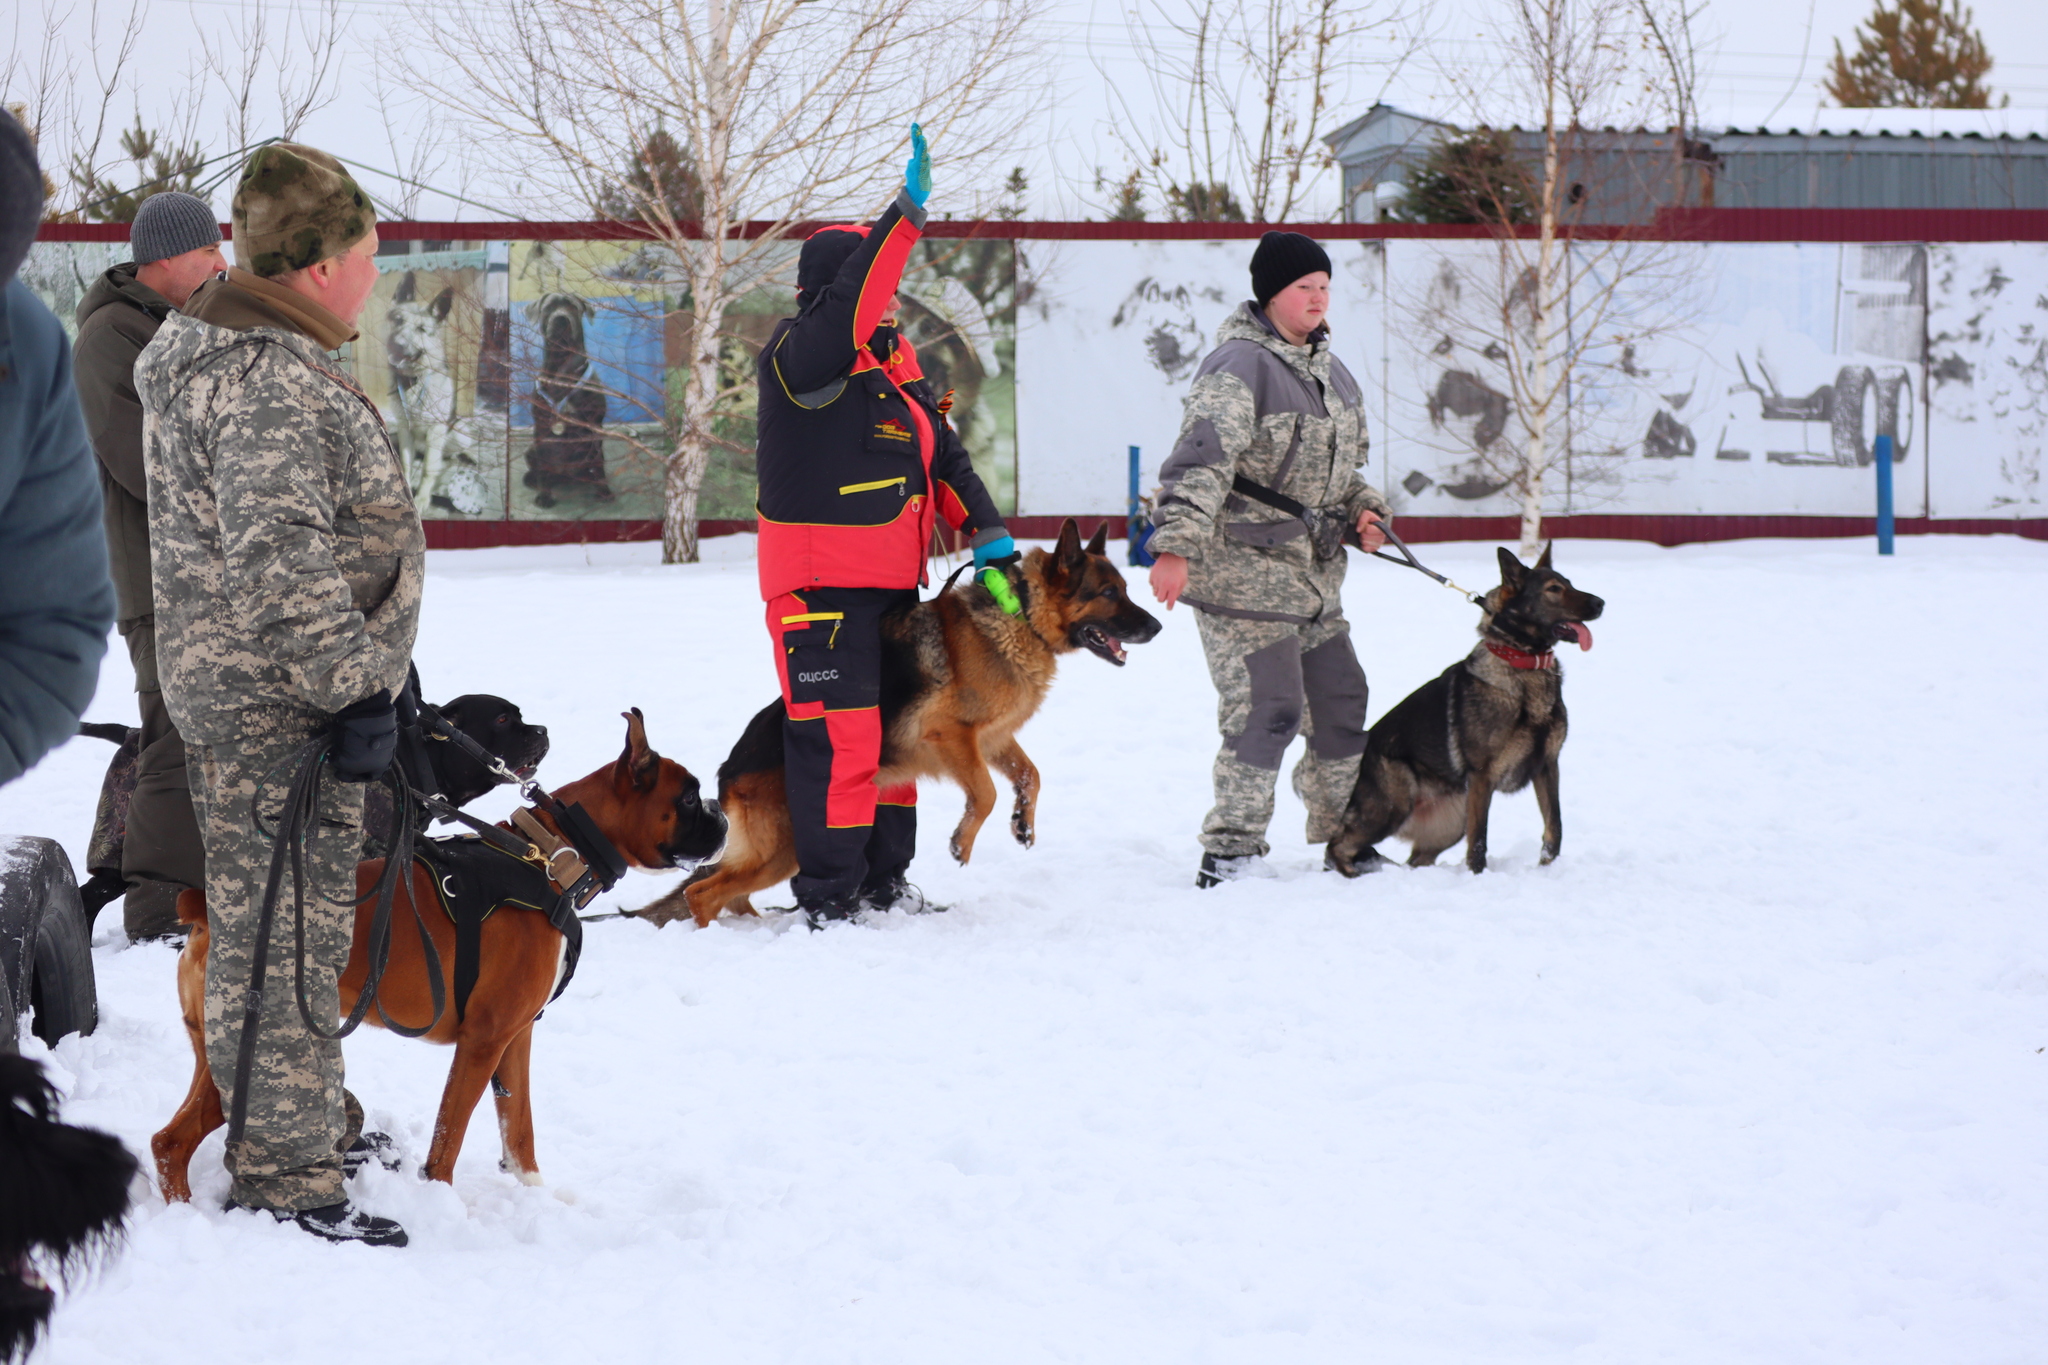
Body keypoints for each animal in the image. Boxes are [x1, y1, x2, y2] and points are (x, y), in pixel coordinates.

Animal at [146, 712, 720, 1203]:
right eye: (690, 798)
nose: (721, 815)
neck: (551, 857)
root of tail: (205, 909)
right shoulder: (483, 1041)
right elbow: (450, 1136)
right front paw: (441, 1203)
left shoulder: (516, 1037)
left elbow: (519, 1129)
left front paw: (537, 1196)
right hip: (261, 1050)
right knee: (175, 1141)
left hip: (214, 1055)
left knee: (167, 1140)